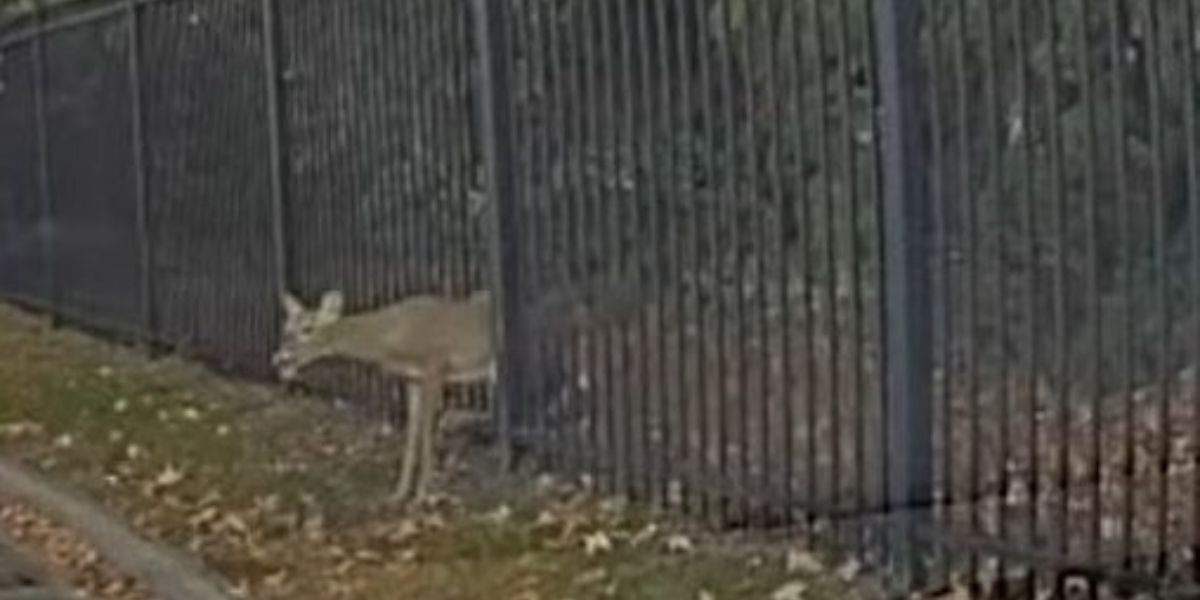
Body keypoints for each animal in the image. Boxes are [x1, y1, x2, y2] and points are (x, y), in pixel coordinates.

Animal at [271, 289, 496, 503]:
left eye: (307, 328)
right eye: (286, 330)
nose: (280, 359)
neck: (391, 337)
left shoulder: (435, 366)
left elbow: (426, 432)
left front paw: (422, 494)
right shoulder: (412, 378)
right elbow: (412, 431)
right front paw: (400, 493)